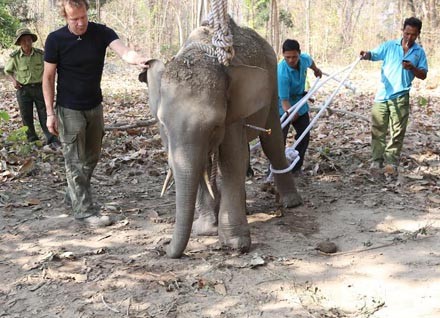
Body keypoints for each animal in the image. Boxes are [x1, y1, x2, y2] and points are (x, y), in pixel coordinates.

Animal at [138, 17, 302, 258]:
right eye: (164, 126)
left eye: (215, 126)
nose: (165, 248)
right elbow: (203, 165)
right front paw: (206, 230)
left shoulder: (231, 112)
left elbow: (232, 160)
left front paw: (235, 244)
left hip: (273, 86)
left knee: (271, 143)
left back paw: (292, 203)